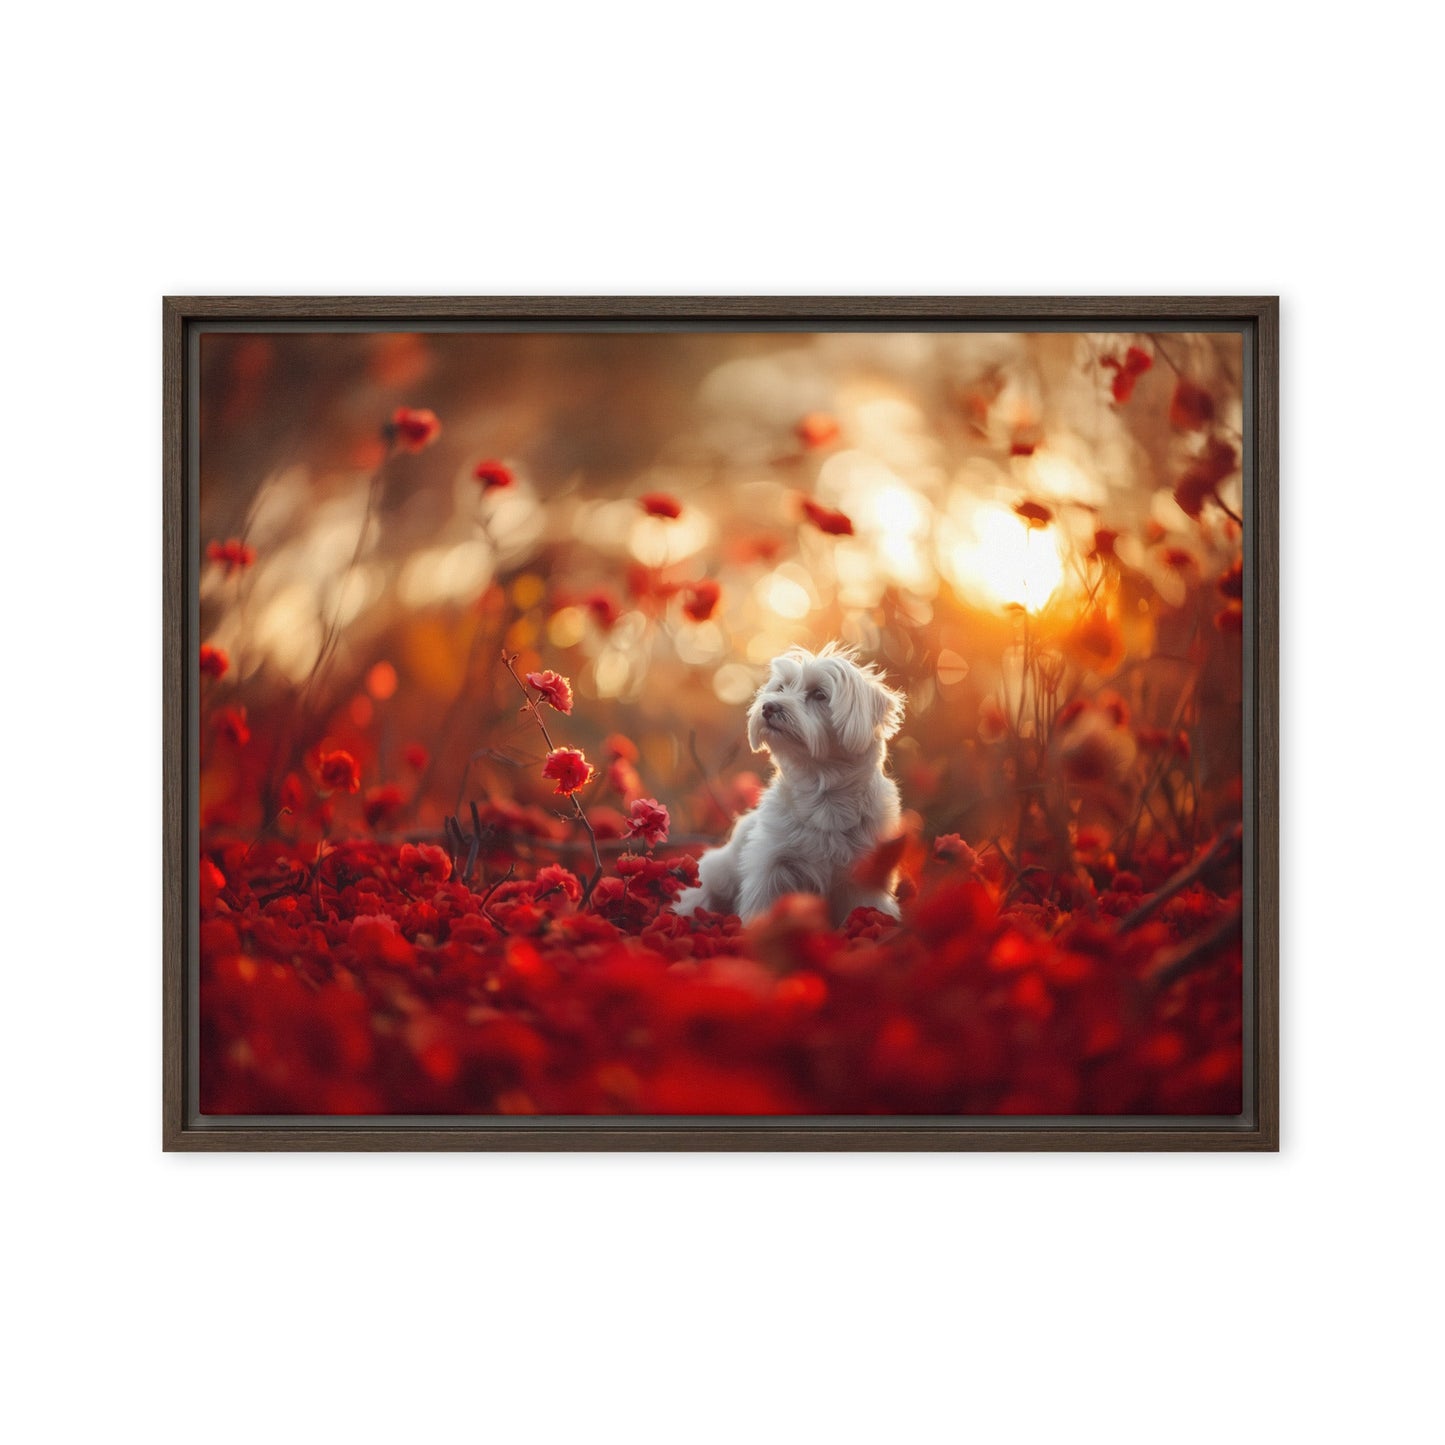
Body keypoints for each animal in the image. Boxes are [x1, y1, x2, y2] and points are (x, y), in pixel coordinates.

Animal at [673, 644, 901, 924]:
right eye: (781, 687)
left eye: (819, 694)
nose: (768, 707)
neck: (822, 795)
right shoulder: (771, 865)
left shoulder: (865, 875)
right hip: (716, 875)